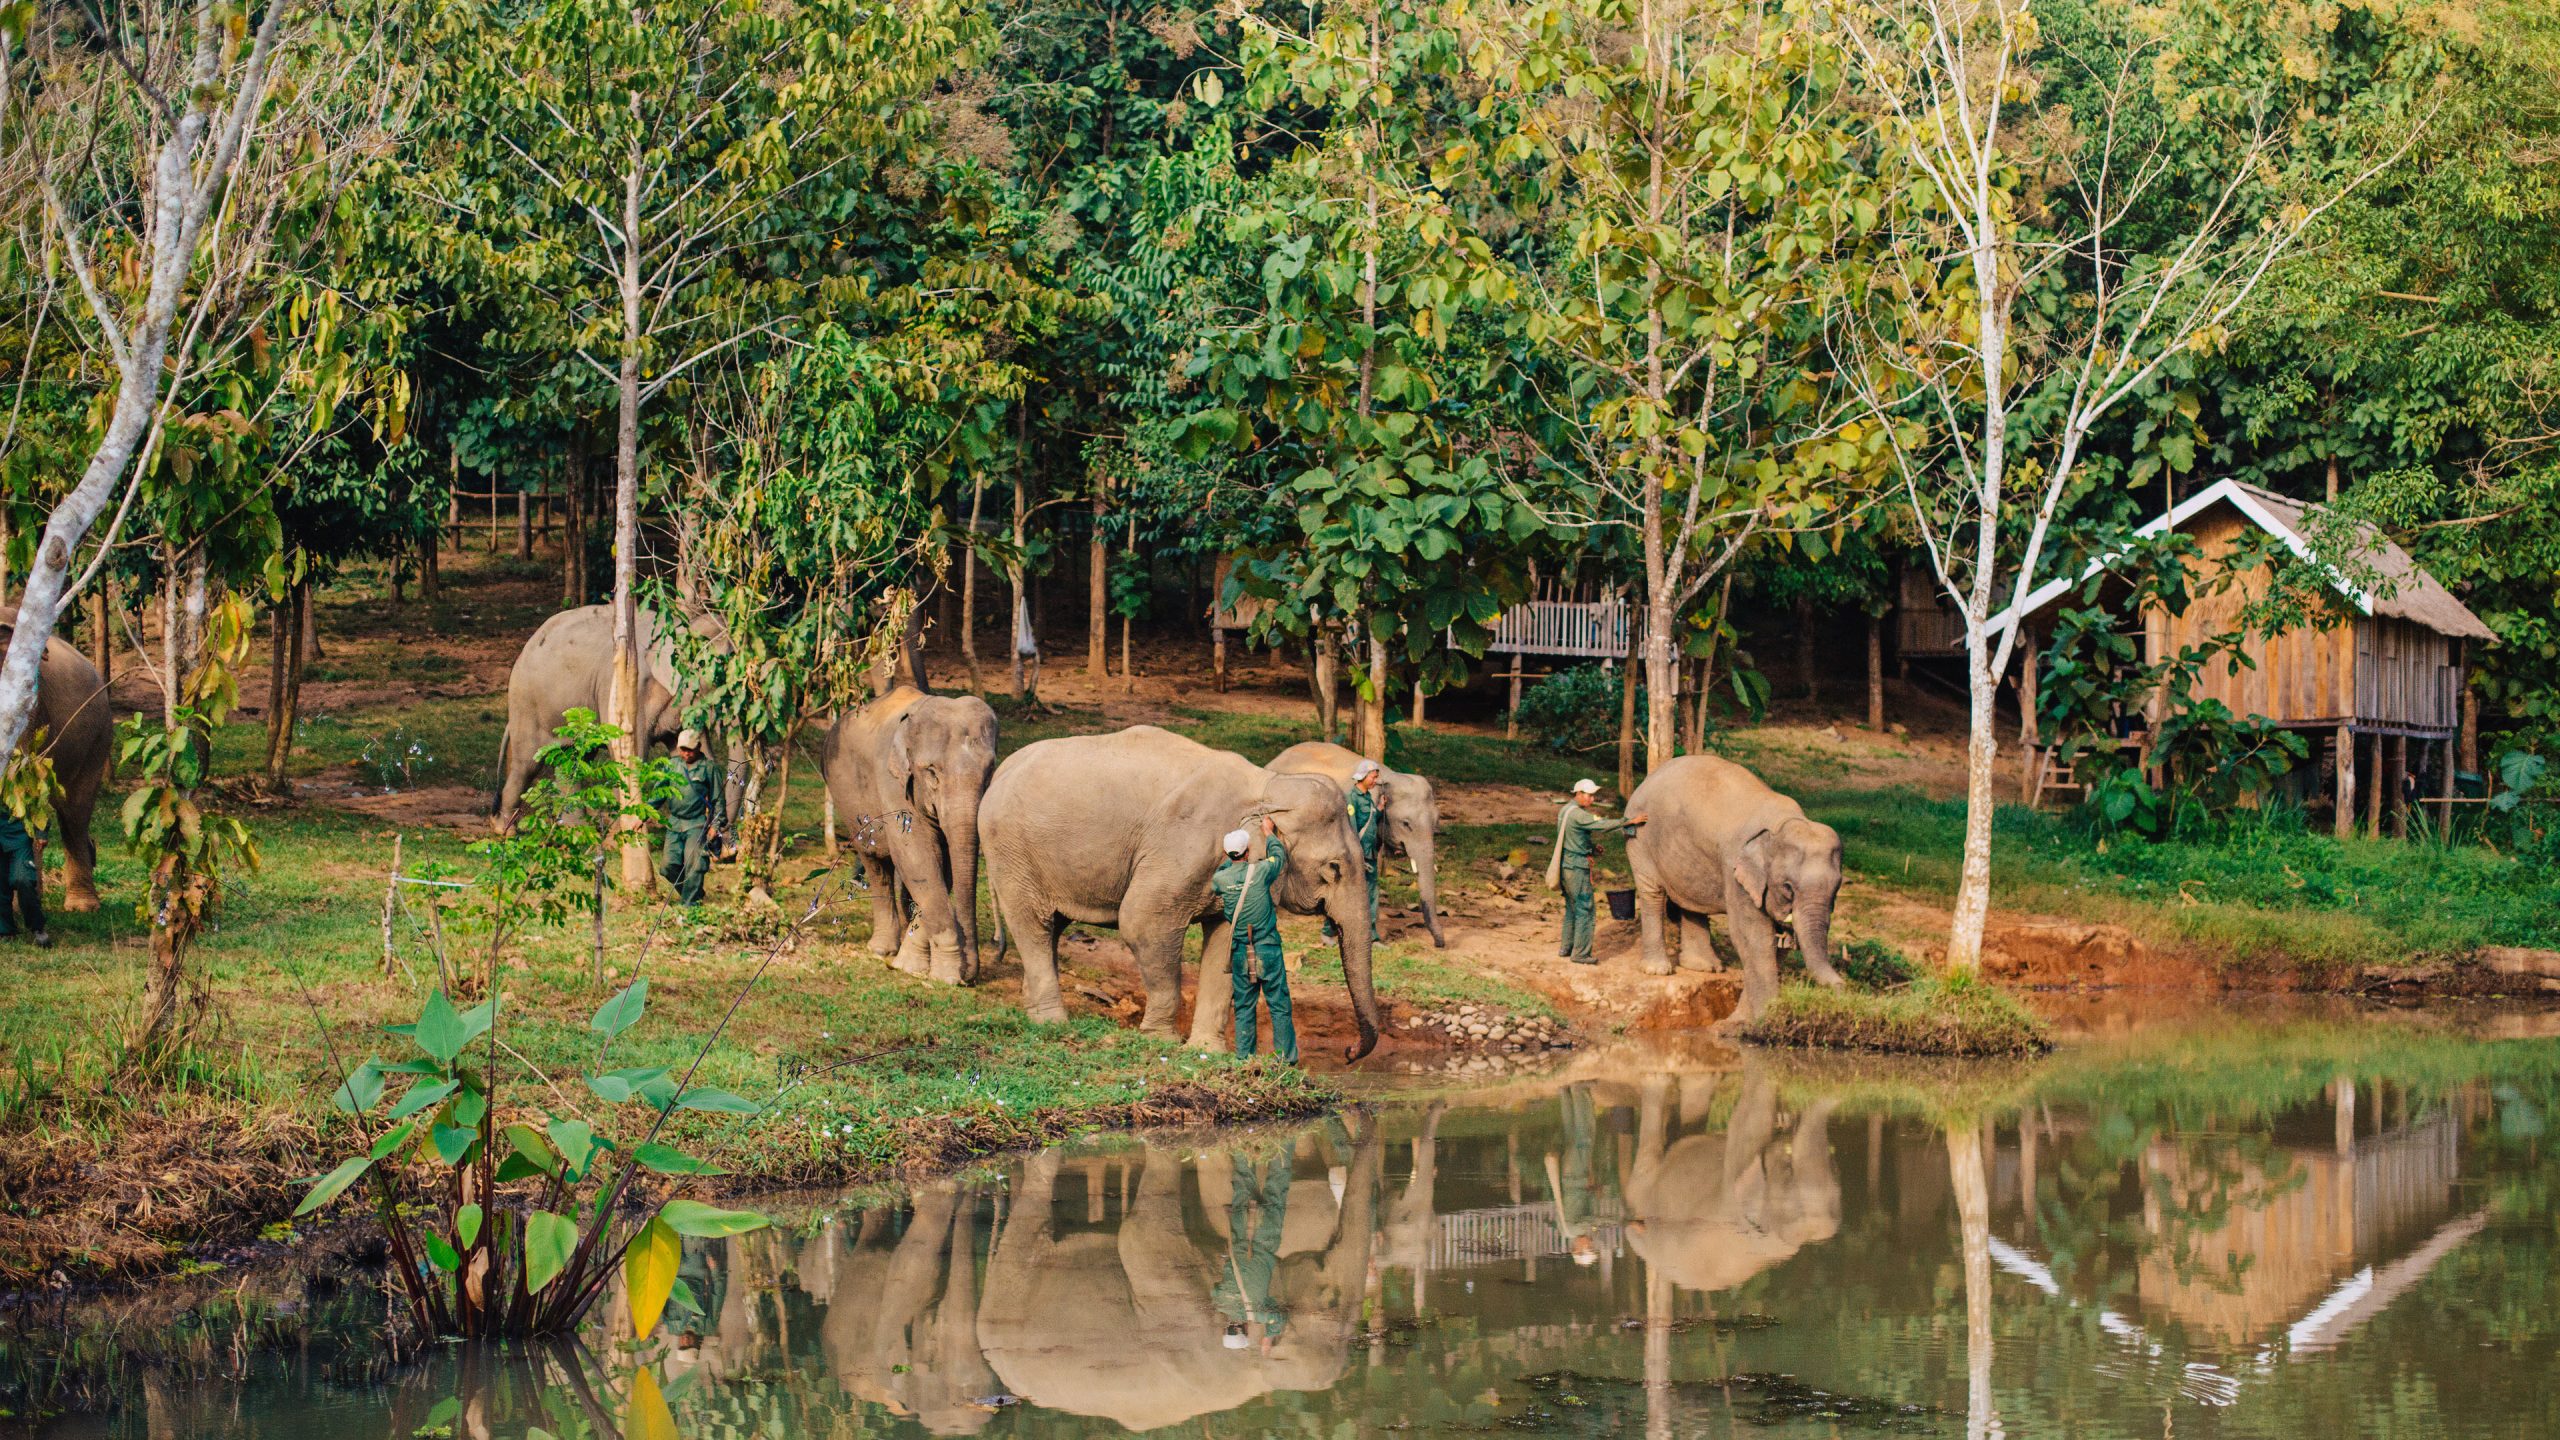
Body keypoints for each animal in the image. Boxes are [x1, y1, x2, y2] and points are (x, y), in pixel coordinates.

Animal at [490, 603, 740, 829]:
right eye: (723, 670)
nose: (723, 831)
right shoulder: (626, 690)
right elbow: (630, 754)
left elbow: (697, 750)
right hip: (526, 704)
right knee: (526, 764)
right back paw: (505, 830)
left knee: (573, 760)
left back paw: (576, 832)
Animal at [817, 686, 998, 985]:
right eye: (932, 773)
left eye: (990, 771)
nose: (969, 977)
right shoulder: (892, 782)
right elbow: (918, 858)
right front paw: (947, 974)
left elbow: (940, 867)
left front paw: (912, 964)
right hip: (845, 797)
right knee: (875, 864)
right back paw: (881, 950)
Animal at [979, 725, 1381, 1061]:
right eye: (1333, 869)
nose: (1349, 1052)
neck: (1265, 784)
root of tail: (1002, 770)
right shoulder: (1181, 849)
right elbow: (1141, 922)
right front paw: (1161, 1041)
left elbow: (1225, 940)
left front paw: (1208, 1051)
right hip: (1011, 852)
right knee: (1033, 925)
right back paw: (1052, 1022)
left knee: (1052, 927)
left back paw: (1033, 1010)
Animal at [1265, 741, 1448, 947]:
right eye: (1406, 824)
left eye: (1436, 822)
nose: (1439, 944)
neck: (1388, 775)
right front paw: (1330, 938)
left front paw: (1376, 942)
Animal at [1624, 753, 1845, 1018]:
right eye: (1788, 887)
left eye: (1837, 889)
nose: (1843, 988)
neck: (1782, 823)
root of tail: (1649, 778)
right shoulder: (1735, 869)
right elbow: (1751, 937)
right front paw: (1762, 1018)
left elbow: (1775, 945)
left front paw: (1748, 1017)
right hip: (1639, 839)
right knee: (1652, 893)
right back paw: (1658, 970)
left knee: (1692, 902)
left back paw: (1705, 967)